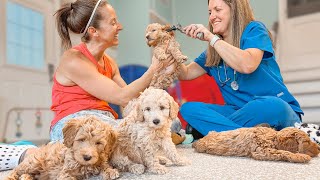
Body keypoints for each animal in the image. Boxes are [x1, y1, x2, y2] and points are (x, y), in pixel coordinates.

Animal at [192, 126, 320, 163]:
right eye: (307, 142)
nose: (319, 147)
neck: (273, 137)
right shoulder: (262, 151)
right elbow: (283, 152)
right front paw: (301, 156)